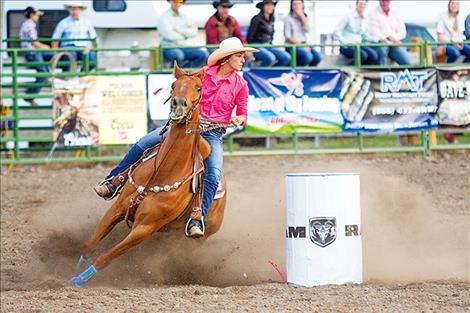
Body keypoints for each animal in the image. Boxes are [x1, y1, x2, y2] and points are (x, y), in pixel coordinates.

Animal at [71, 64, 228, 288]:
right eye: (173, 85)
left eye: (199, 88)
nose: (178, 105)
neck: (163, 172)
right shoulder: (117, 209)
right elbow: (89, 244)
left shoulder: (144, 228)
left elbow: (106, 257)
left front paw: (78, 279)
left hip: (197, 238)